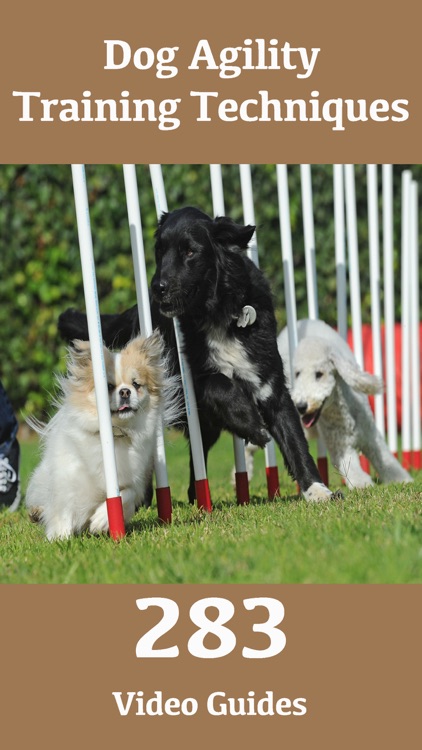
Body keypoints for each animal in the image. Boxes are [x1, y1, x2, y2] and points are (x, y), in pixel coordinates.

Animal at [24, 334, 180, 540]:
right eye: (109, 386)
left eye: (136, 384)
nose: (125, 391)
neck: (115, 433)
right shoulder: (68, 478)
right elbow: (63, 508)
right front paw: (60, 538)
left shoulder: (134, 480)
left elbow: (125, 495)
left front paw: (101, 520)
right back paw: (37, 513)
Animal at [59, 206, 334, 506]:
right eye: (160, 250)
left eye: (190, 251)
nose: (157, 287)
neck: (218, 315)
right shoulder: (183, 383)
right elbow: (219, 383)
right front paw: (253, 425)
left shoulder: (270, 383)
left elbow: (295, 440)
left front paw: (318, 490)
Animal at [244, 318, 412, 490]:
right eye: (297, 374)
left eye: (319, 374)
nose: (301, 406)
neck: (342, 414)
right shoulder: (340, 447)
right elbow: (353, 470)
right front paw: (363, 485)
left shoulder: (371, 437)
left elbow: (386, 460)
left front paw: (403, 480)